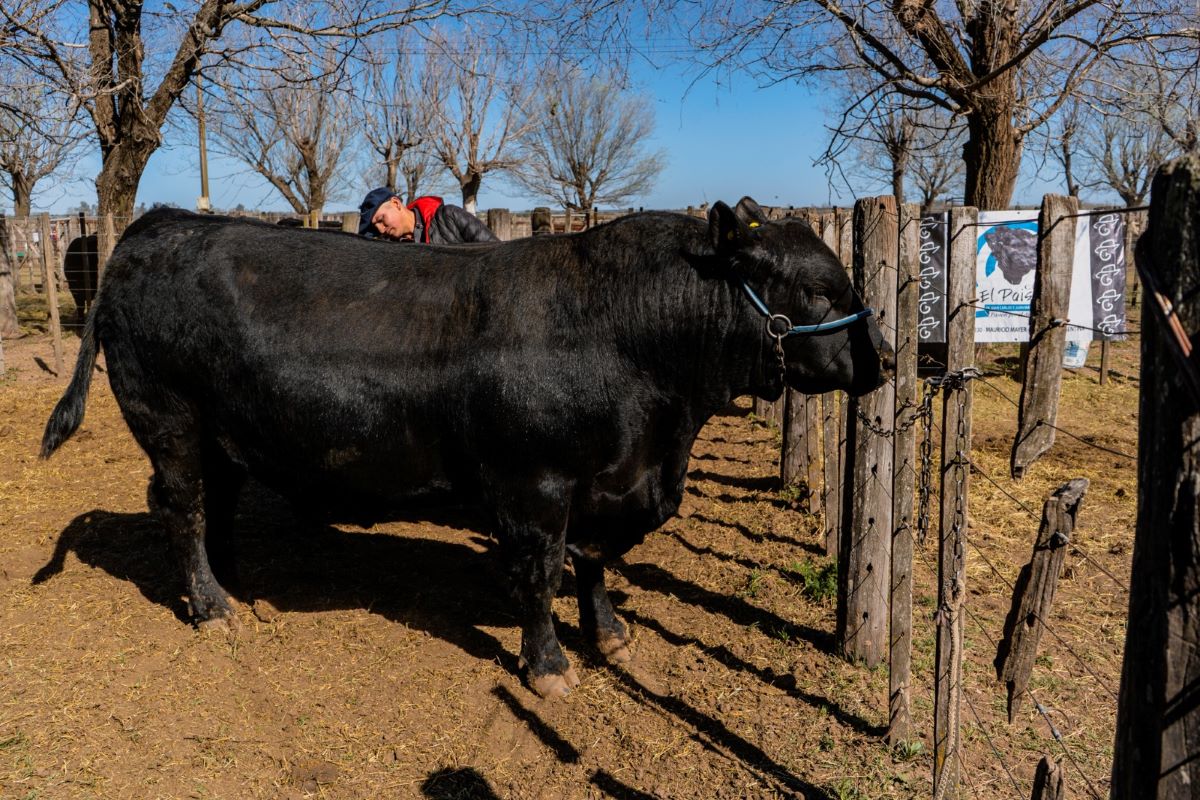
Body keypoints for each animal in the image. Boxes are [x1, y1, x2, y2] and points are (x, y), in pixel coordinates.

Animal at [42, 199, 892, 700]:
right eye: (821, 290)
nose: (883, 359)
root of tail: (153, 226)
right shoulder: (536, 486)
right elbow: (541, 575)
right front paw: (548, 667)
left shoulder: (608, 483)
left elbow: (594, 563)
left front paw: (610, 636)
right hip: (171, 422)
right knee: (181, 507)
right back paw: (211, 607)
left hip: (221, 433)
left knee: (216, 502)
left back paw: (234, 583)